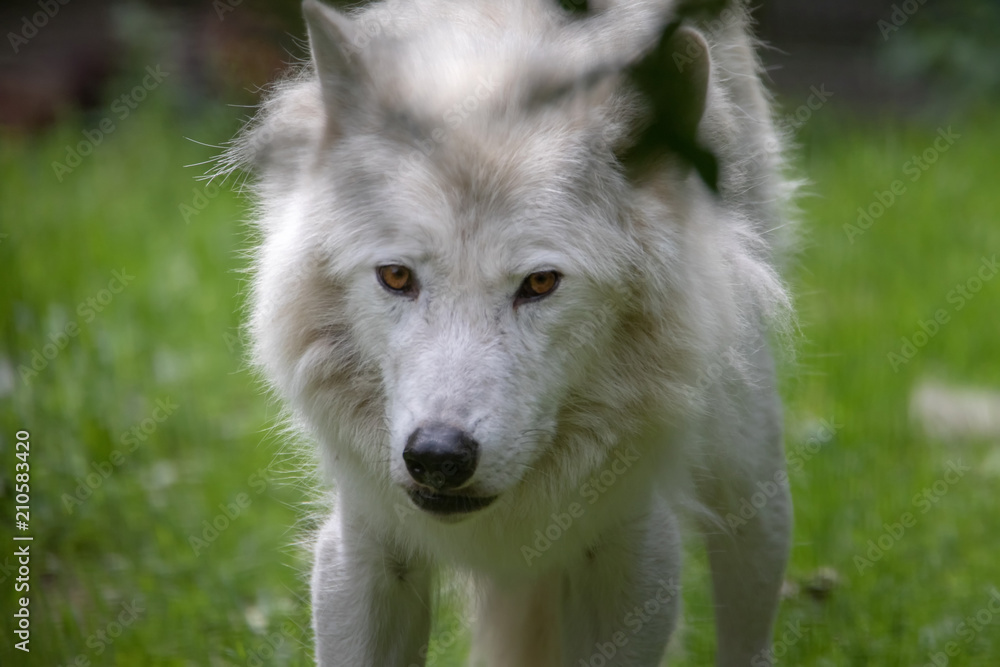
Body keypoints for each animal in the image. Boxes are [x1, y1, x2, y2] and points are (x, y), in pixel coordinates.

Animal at [222, 0, 797, 664]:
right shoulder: (365, 544)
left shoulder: (631, 548)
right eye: (396, 276)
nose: (437, 457)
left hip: (750, 487)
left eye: (540, 283)